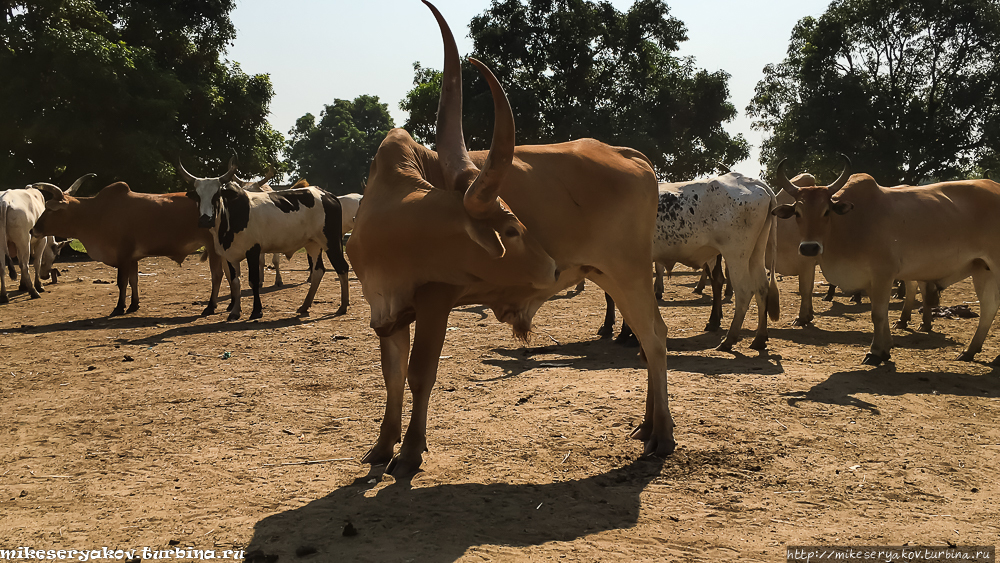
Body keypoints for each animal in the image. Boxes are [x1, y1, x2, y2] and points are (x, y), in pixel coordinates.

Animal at [28, 178, 232, 318]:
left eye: (51, 209)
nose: (33, 229)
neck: (96, 213)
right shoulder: (132, 258)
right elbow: (134, 280)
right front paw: (134, 305)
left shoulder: (123, 256)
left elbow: (122, 282)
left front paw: (119, 307)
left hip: (214, 248)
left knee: (217, 276)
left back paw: (211, 306)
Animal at [181, 163, 352, 322]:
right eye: (198, 196)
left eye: (217, 195)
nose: (205, 220)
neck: (233, 215)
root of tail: (328, 195)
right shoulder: (229, 256)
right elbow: (235, 282)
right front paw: (235, 311)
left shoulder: (253, 251)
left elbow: (254, 281)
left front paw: (257, 311)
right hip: (313, 244)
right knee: (318, 271)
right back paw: (305, 305)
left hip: (331, 242)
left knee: (342, 267)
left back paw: (343, 306)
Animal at [346, 0, 680, 478]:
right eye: (509, 229)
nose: (551, 268)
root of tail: (628, 154)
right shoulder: (385, 313)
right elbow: (392, 376)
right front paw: (381, 446)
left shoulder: (436, 299)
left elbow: (420, 373)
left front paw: (409, 453)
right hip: (610, 275)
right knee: (647, 338)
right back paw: (648, 425)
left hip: (629, 273)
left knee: (654, 338)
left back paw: (663, 434)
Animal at [772, 156, 1000, 366]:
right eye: (797, 213)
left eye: (826, 211)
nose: (809, 248)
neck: (850, 223)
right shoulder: (870, 279)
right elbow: (881, 315)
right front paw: (885, 348)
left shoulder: (883, 274)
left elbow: (878, 314)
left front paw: (874, 352)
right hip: (982, 269)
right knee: (989, 307)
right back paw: (970, 351)